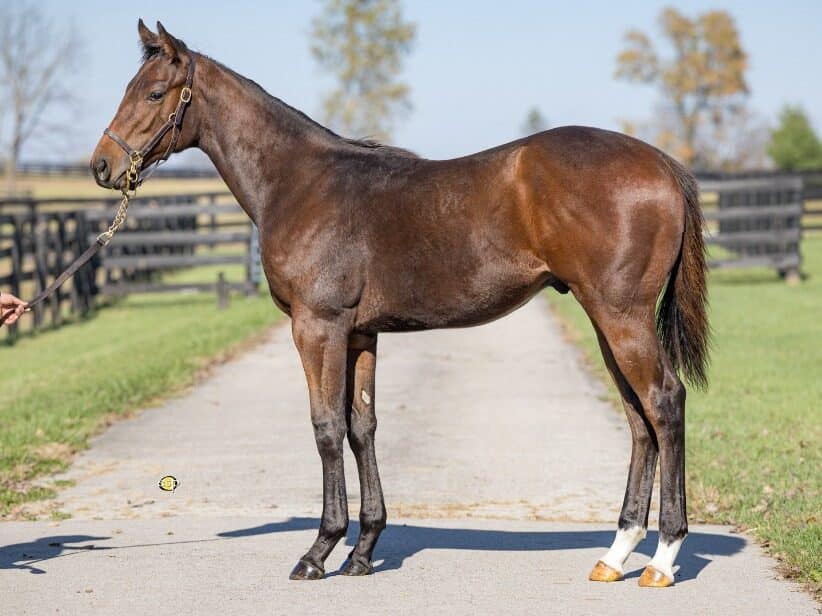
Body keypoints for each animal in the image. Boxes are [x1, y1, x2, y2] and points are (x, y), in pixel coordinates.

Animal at [88, 20, 708, 588]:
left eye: (153, 93)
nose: (101, 166)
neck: (301, 182)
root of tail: (661, 164)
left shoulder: (318, 328)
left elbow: (326, 427)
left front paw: (319, 552)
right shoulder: (361, 334)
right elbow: (362, 426)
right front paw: (363, 552)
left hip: (621, 317)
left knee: (664, 402)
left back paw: (663, 558)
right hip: (606, 321)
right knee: (638, 419)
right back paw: (616, 554)